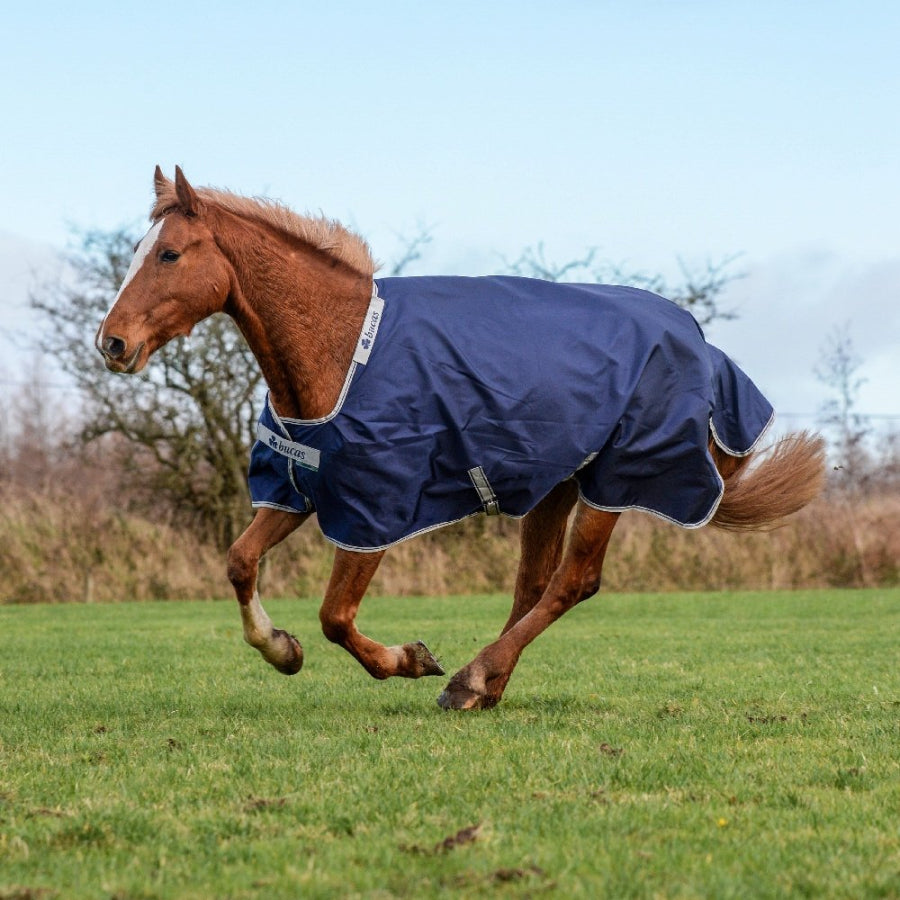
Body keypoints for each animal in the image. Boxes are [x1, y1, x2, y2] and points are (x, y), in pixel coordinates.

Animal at [96, 167, 825, 710]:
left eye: (168, 254)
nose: (112, 343)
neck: (342, 351)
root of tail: (703, 347)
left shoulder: (373, 509)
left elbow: (336, 616)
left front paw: (409, 659)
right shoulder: (298, 488)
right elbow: (239, 562)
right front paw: (282, 650)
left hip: (617, 481)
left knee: (574, 581)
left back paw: (469, 679)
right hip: (554, 486)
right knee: (534, 585)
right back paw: (486, 684)